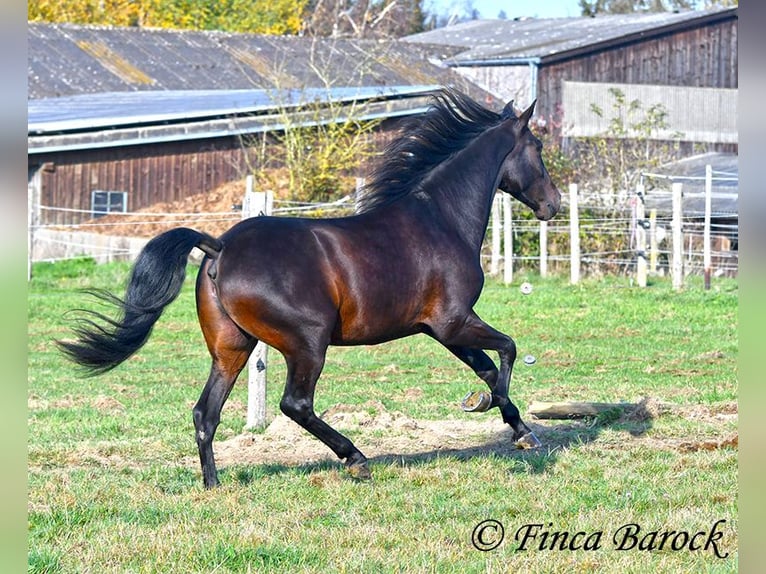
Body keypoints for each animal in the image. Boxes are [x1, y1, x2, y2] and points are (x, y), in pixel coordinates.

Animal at [58, 88, 564, 488]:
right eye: (537, 146)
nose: (553, 204)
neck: (440, 219)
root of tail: (220, 246)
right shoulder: (454, 321)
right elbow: (508, 351)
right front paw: (500, 414)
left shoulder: (440, 330)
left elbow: (489, 367)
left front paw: (517, 427)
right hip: (307, 343)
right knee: (295, 403)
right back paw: (356, 459)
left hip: (232, 348)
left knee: (206, 413)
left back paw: (213, 485)